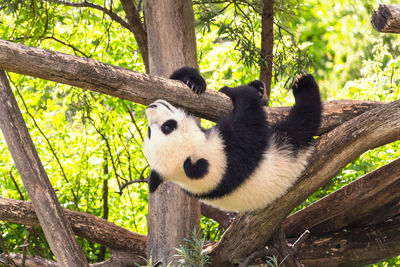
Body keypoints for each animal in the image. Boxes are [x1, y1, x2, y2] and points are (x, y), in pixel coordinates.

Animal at [142, 67, 320, 214]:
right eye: (168, 126)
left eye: (151, 131)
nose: (152, 106)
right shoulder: (231, 152)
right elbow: (249, 115)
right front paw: (236, 90)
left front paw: (192, 82)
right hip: (288, 145)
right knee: (305, 120)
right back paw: (304, 85)